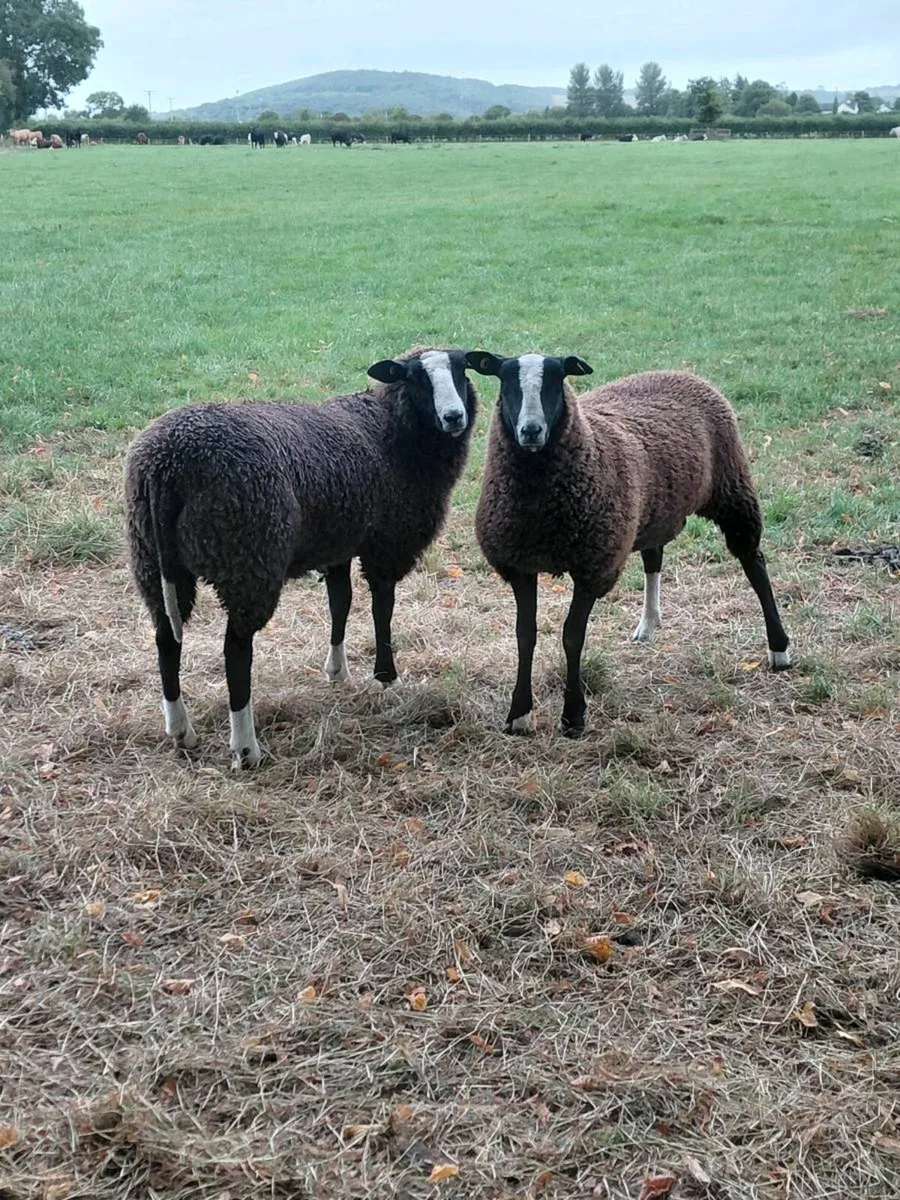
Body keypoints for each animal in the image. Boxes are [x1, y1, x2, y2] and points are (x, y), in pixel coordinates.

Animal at [125, 348, 478, 768]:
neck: (390, 431)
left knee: (166, 638)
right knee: (235, 650)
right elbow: (382, 607)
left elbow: (340, 603)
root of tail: (166, 467)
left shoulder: (340, 541)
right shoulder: (387, 543)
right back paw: (246, 747)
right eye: (414, 378)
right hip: (249, 556)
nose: (454, 416)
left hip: (153, 561)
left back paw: (181, 730)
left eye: (461, 369)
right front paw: (385, 675)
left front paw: (337, 672)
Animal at [466, 352, 792, 737]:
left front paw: (574, 716)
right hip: (655, 512)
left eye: (557, 379)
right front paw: (518, 714)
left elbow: (572, 636)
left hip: (732, 490)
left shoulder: (595, 565)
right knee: (654, 558)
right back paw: (648, 625)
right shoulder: (519, 565)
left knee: (754, 563)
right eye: (504, 380)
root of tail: (680, 373)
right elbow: (524, 635)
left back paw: (779, 649)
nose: (531, 430)